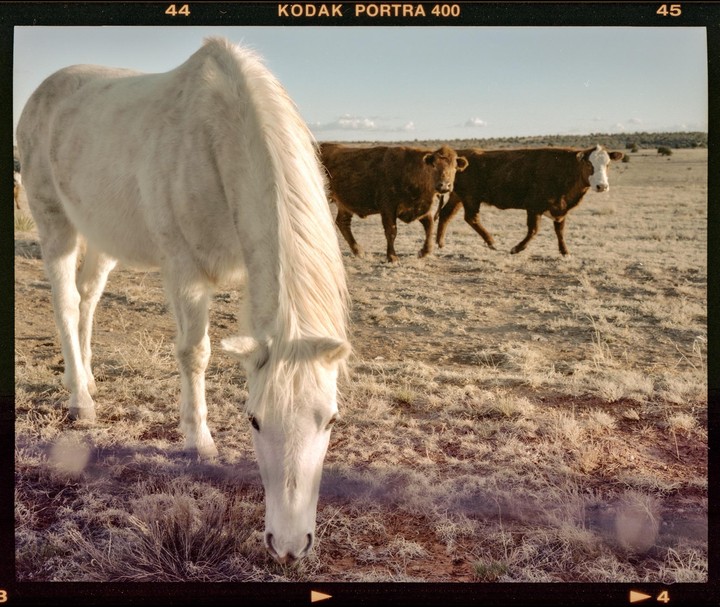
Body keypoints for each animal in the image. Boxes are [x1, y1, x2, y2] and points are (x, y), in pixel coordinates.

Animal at [16, 37, 351, 565]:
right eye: (254, 421)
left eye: (331, 419)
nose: (289, 547)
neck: (217, 137)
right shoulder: (185, 271)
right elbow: (195, 352)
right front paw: (199, 442)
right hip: (55, 224)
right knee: (67, 304)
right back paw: (80, 400)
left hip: (102, 236)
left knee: (88, 298)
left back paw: (88, 379)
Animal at [320, 143, 468, 263]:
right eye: (434, 165)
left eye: (455, 167)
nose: (444, 185)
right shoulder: (388, 208)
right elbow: (391, 231)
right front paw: (392, 257)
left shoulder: (420, 209)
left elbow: (429, 226)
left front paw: (424, 251)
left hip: (344, 205)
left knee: (343, 223)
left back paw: (359, 251)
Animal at [435, 145, 624, 256]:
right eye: (589, 164)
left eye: (607, 164)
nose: (602, 186)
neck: (564, 169)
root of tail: (460, 155)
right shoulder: (534, 207)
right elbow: (533, 230)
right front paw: (516, 248)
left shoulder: (560, 209)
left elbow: (560, 230)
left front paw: (565, 251)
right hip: (470, 198)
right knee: (471, 218)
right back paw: (491, 242)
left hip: (457, 196)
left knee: (445, 215)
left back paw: (440, 243)